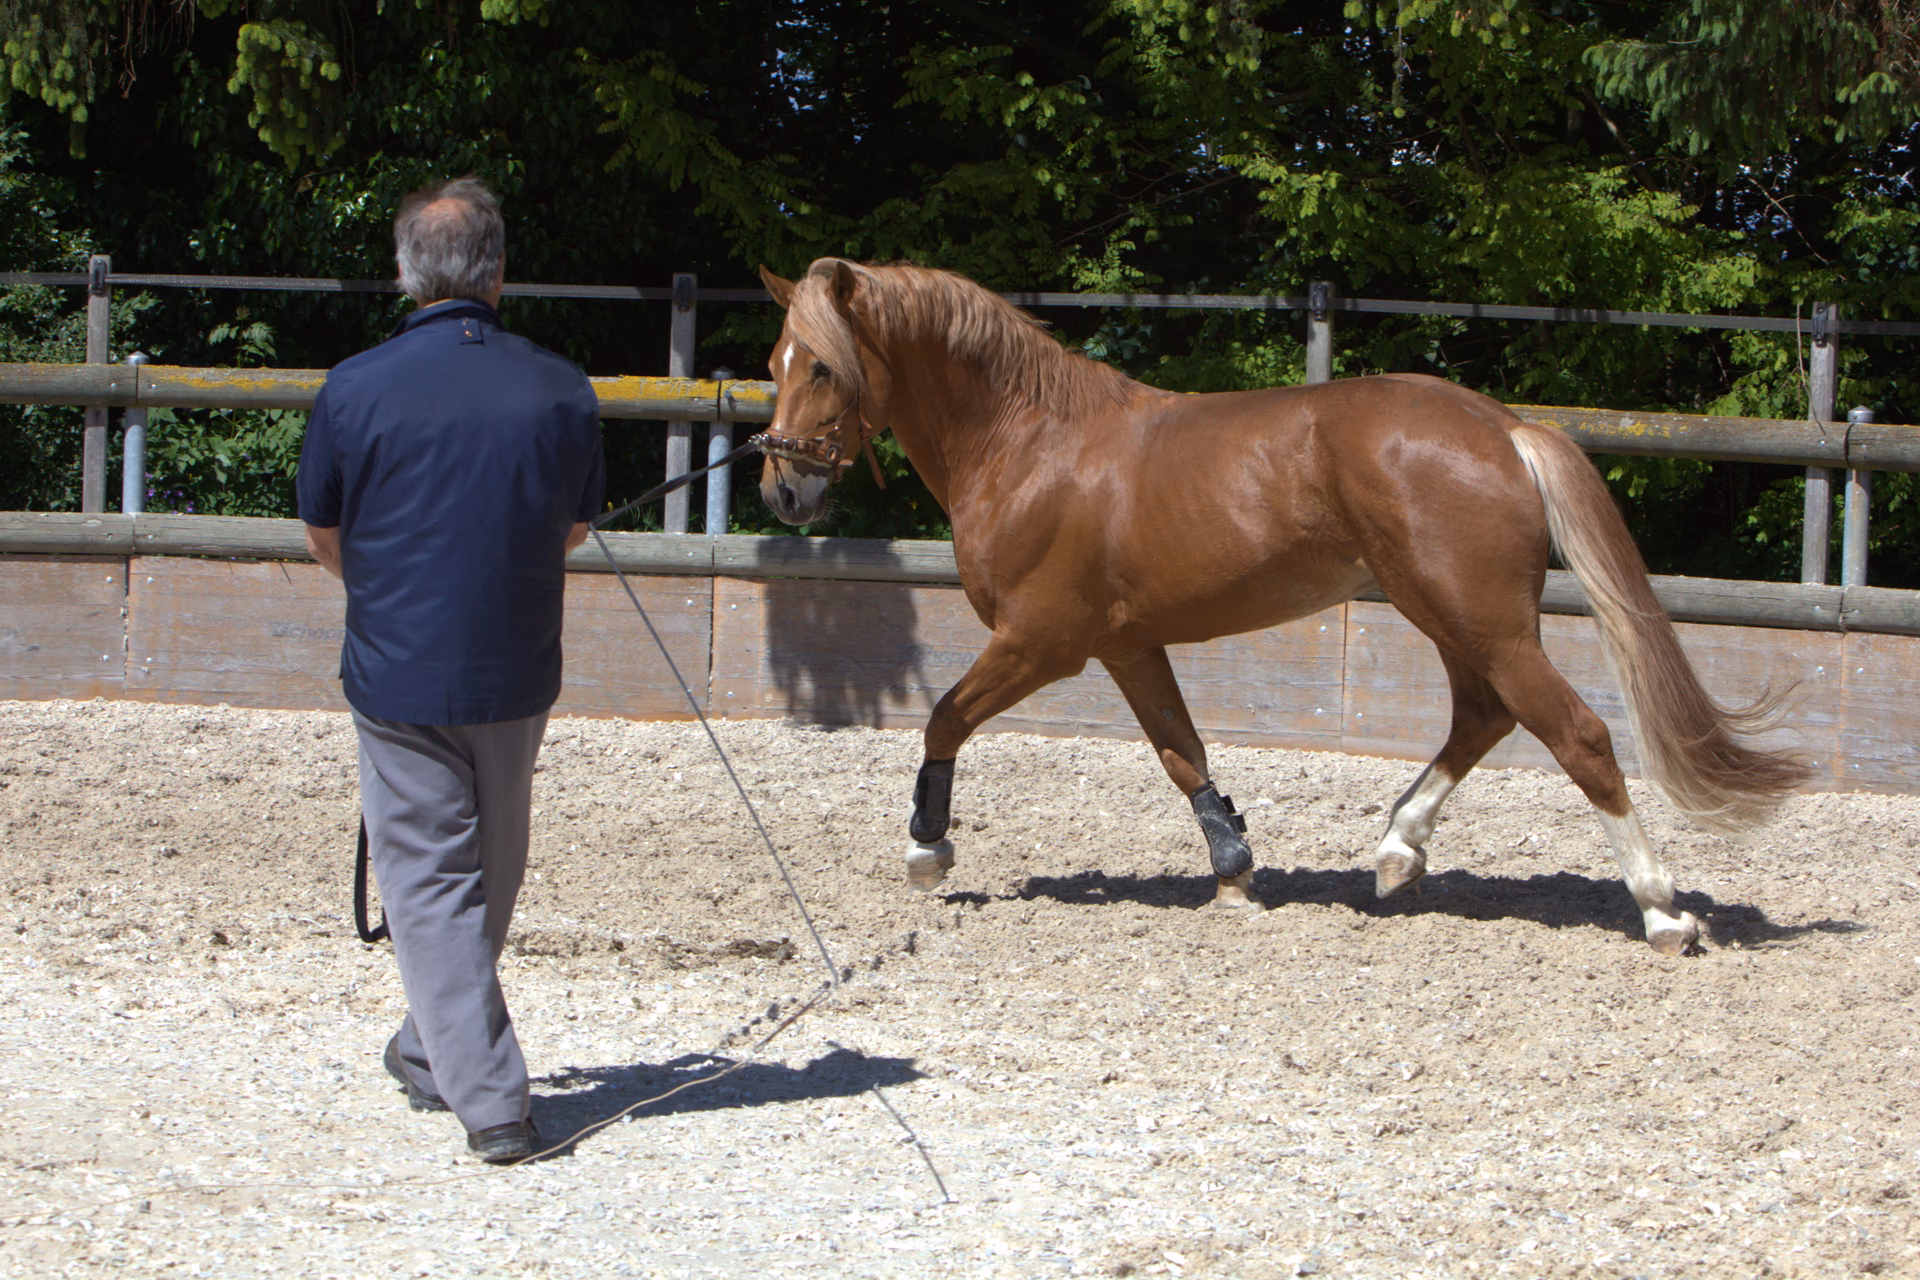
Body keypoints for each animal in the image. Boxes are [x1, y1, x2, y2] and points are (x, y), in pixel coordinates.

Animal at [750, 258, 1810, 955]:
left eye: (825, 366)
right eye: (774, 361)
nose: (784, 490)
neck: (1032, 444)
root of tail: (1503, 427)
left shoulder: (1041, 642)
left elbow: (943, 718)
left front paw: (927, 849)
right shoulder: (1128, 647)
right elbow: (1182, 754)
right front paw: (1234, 868)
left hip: (1476, 618)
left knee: (1577, 734)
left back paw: (1662, 911)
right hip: (1450, 616)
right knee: (1485, 716)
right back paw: (1396, 851)